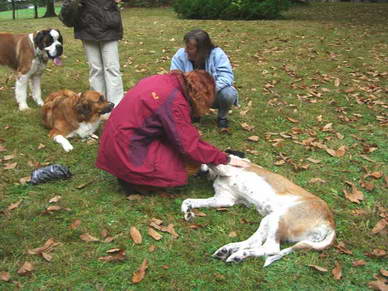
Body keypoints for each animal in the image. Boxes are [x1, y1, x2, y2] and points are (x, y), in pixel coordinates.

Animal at [180, 156, 334, 268]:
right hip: (269, 219)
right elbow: (188, 200)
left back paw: (237, 254)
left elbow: (215, 159)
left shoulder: (228, 170)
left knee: (271, 248)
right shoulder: (223, 199)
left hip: (279, 217)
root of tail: (330, 223)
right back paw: (230, 251)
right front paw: (187, 212)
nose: (200, 173)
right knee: (255, 242)